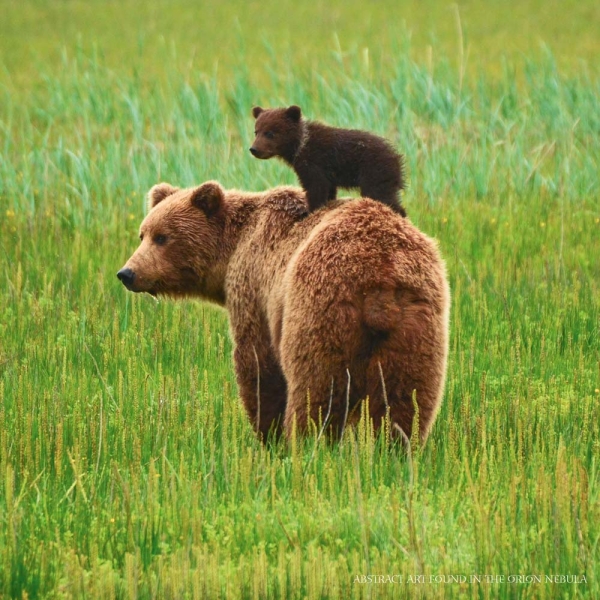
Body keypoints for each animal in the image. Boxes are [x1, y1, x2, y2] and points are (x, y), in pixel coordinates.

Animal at [117, 182, 448, 440]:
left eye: (163, 237)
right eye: (143, 234)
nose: (127, 273)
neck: (232, 250)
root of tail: (380, 276)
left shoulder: (254, 287)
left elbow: (257, 363)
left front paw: (267, 433)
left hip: (320, 308)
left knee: (316, 387)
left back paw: (306, 444)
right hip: (417, 322)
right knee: (406, 396)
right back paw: (394, 449)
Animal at [248, 106, 408, 217]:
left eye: (270, 133)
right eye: (256, 131)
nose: (254, 149)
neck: (299, 145)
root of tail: (397, 158)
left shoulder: (314, 162)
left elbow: (316, 187)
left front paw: (308, 211)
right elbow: (328, 190)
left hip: (374, 174)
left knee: (382, 197)